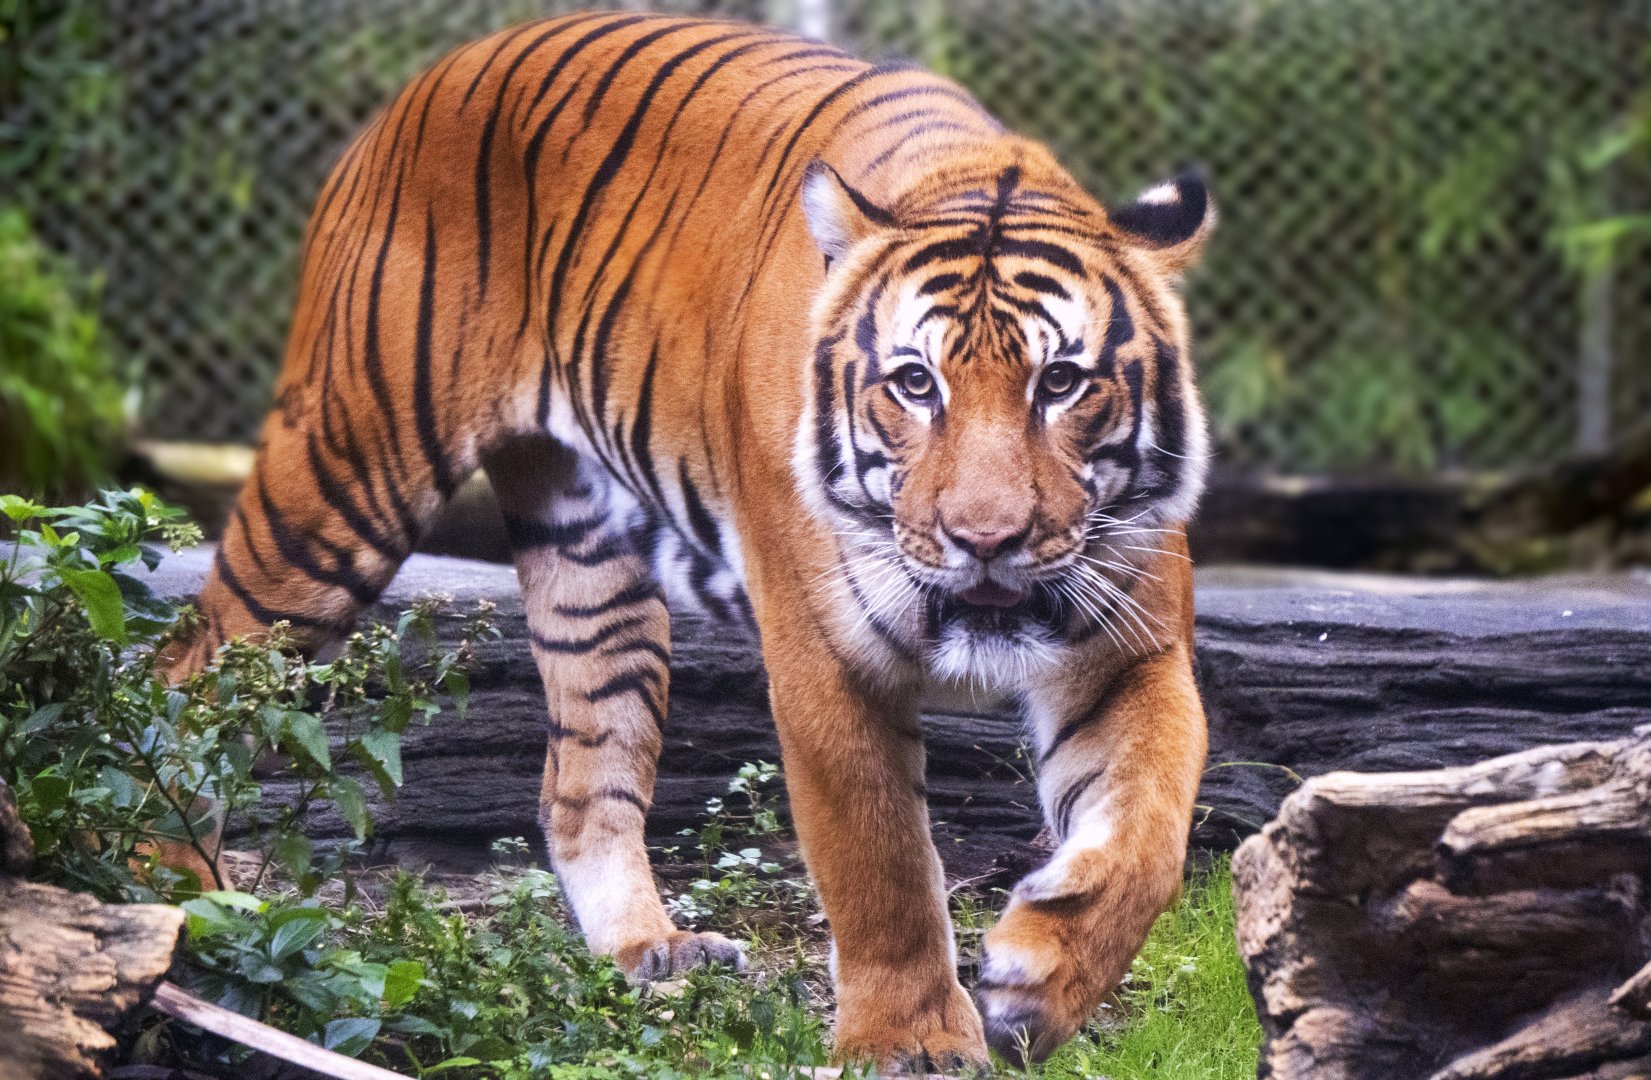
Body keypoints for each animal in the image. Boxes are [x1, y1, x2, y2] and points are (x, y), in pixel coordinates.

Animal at [166, 11, 1214, 1070]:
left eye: (1061, 383)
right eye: (916, 383)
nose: (986, 539)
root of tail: (438, 71)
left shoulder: (1128, 651)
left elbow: (1151, 832)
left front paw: (1038, 981)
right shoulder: (824, 658)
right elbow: (877, 861)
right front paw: (906, 1042)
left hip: (590, 569)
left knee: (580, 777)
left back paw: (650, 950)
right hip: (341, 483)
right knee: (192, 670)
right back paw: (178, 894)